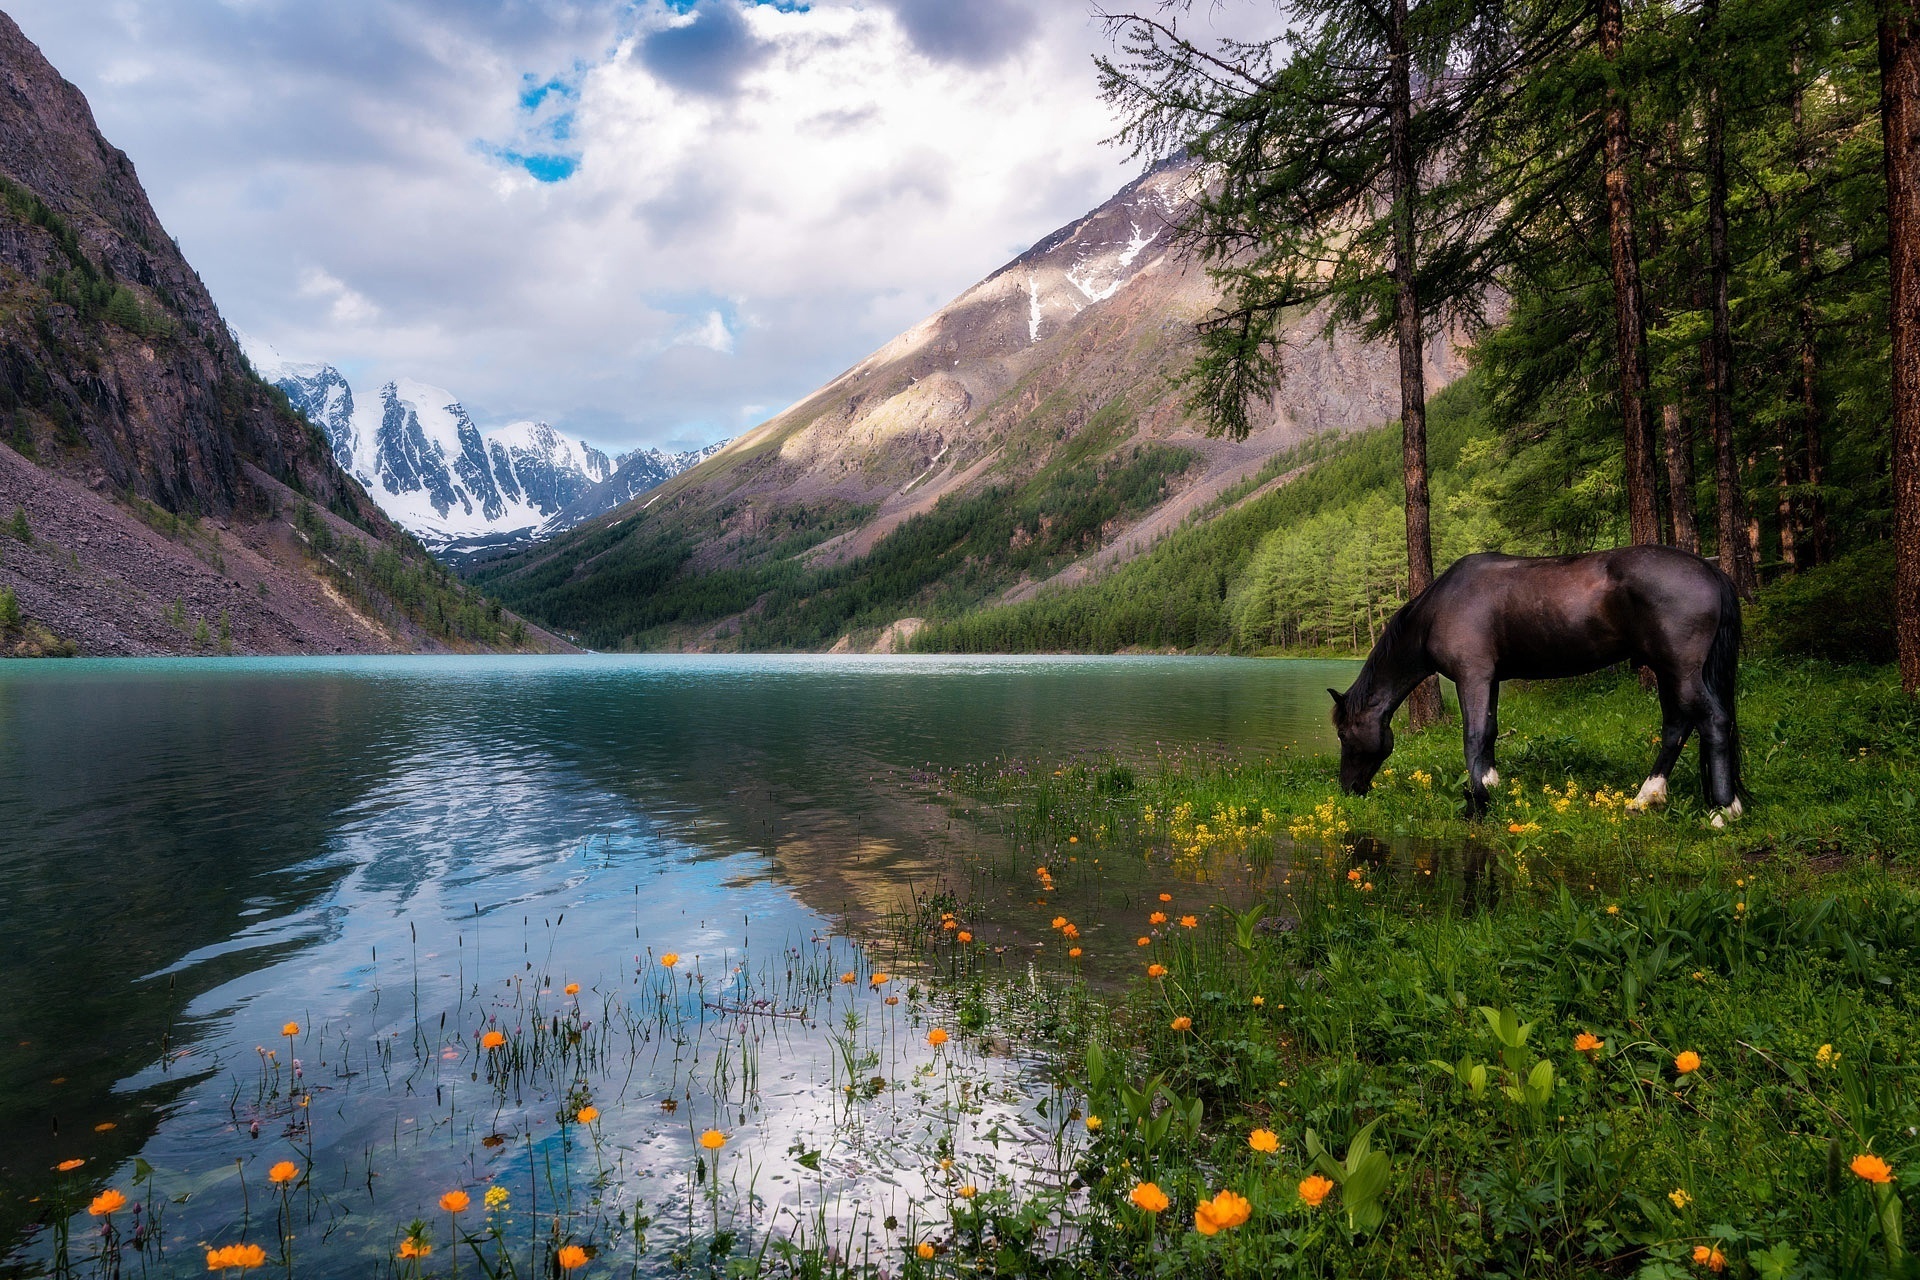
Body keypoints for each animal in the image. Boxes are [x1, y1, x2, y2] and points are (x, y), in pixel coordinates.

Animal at [1328, 545, 1751, 825]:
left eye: (1345, 736)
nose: (1348, 788)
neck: (1437, 610)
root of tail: (1709, 570)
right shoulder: (1491, 679)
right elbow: (1490, 732)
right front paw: (1492, 786)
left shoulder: (1473, 676)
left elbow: (1473, 736)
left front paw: (1476, 802)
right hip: (1669, 671)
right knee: (1676, 726)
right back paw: (1646, 797)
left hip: (1682, 672)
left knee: (1712, 721)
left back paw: (1723, 810)